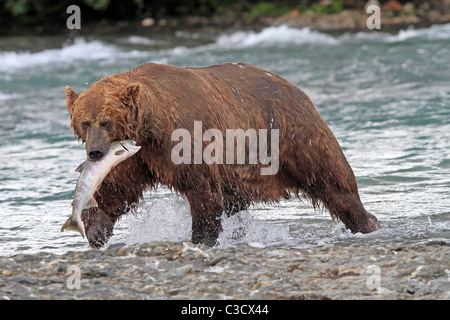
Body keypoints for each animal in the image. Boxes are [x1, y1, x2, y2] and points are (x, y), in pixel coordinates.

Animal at [64, 62, 380, 248]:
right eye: (84, 121)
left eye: (106, 121)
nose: (94, 152)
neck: (151, 126)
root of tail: (295, 87)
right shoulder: (137, 155)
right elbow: (117, 188)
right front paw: (97, 228)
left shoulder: (183, 138)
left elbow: (201, 190)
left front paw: (200, 238)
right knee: (234, 199)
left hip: (295, 136)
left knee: (334, 182)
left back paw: (367, 223)